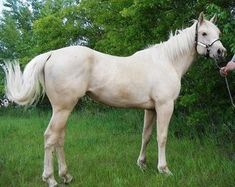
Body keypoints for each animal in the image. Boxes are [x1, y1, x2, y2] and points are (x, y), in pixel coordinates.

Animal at [3, 12, 227, 186]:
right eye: (204, 33)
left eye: (218, 33)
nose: (221, 52)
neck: (167, 61)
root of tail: (52, 54)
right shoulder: (165, 106)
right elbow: (162, 137)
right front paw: (164, 169)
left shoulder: (150, 109)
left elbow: (146, 136)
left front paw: (142, 164)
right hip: (62, 108)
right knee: (50, 137)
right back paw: (50, 179)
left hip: (64, 110)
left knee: (59, 138)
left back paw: (66, 176)